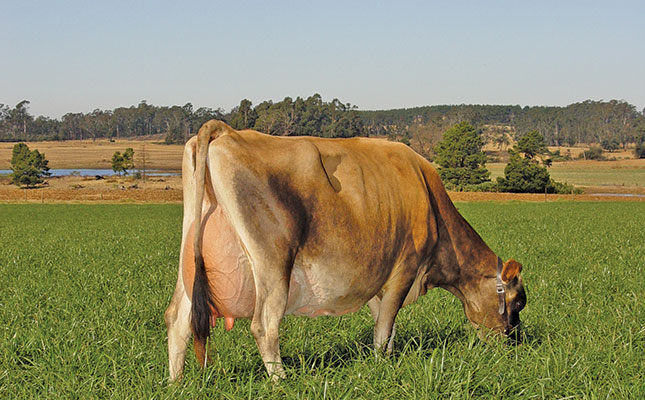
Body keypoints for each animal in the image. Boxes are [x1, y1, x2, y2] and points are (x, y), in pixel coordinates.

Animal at [164, 119, 524, 382]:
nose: (514, 343)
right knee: (264, 324)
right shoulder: (405, 268)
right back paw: (282, 382)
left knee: (178, 318)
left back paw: (176, 383)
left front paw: (387, 359)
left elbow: (385, 324)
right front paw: (380, 366)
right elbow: (385, 327)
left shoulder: (381, 278)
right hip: (273, 261)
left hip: (190, 255)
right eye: (518, 301)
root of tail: (227, 130)